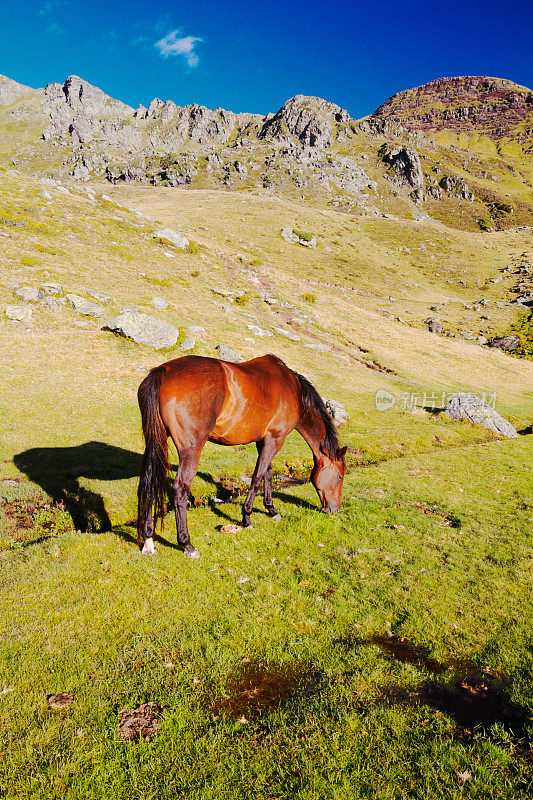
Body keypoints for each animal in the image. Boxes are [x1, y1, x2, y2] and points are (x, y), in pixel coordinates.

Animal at [135, 354, 348, 556]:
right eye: (340, 476)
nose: (335, 509)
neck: (294, 389)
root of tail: (164, 371)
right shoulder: (275, 439)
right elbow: (257, 477)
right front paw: (247, 517)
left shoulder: (264, 440)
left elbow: (268, 473)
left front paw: (271, 509)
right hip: (191, 450)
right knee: (180, 489)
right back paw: (187, 544)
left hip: (155, 440)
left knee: (149, 483)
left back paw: (148, 540)